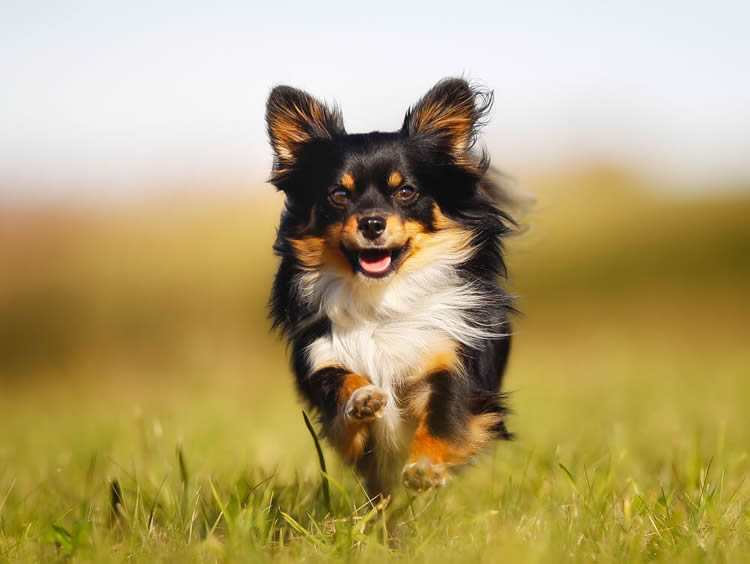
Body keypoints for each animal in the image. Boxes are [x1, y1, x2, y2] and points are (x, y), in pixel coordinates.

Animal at [266, 78, 524, 494]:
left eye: (405, 192)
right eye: (339, 195)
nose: (371, 223)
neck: (381, 301)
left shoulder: (450, 363)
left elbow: (444, 418)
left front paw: (425, 468)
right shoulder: (324, 358)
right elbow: (342, 387)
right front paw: (362, 397)